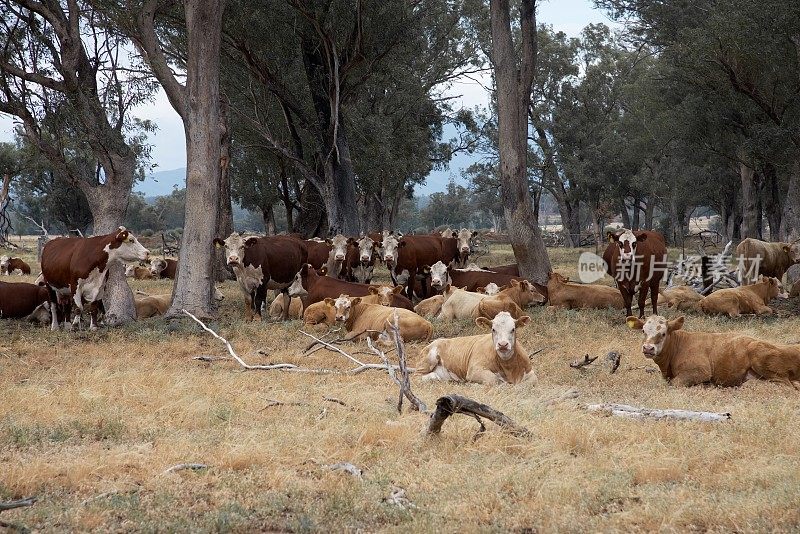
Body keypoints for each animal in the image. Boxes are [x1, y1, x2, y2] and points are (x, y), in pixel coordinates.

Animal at [624, 314, 800, 390]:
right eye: (643, 331)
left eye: (663, 333)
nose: (648, 348)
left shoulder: (700, 371)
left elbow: (675, 384)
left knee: (787, 386)